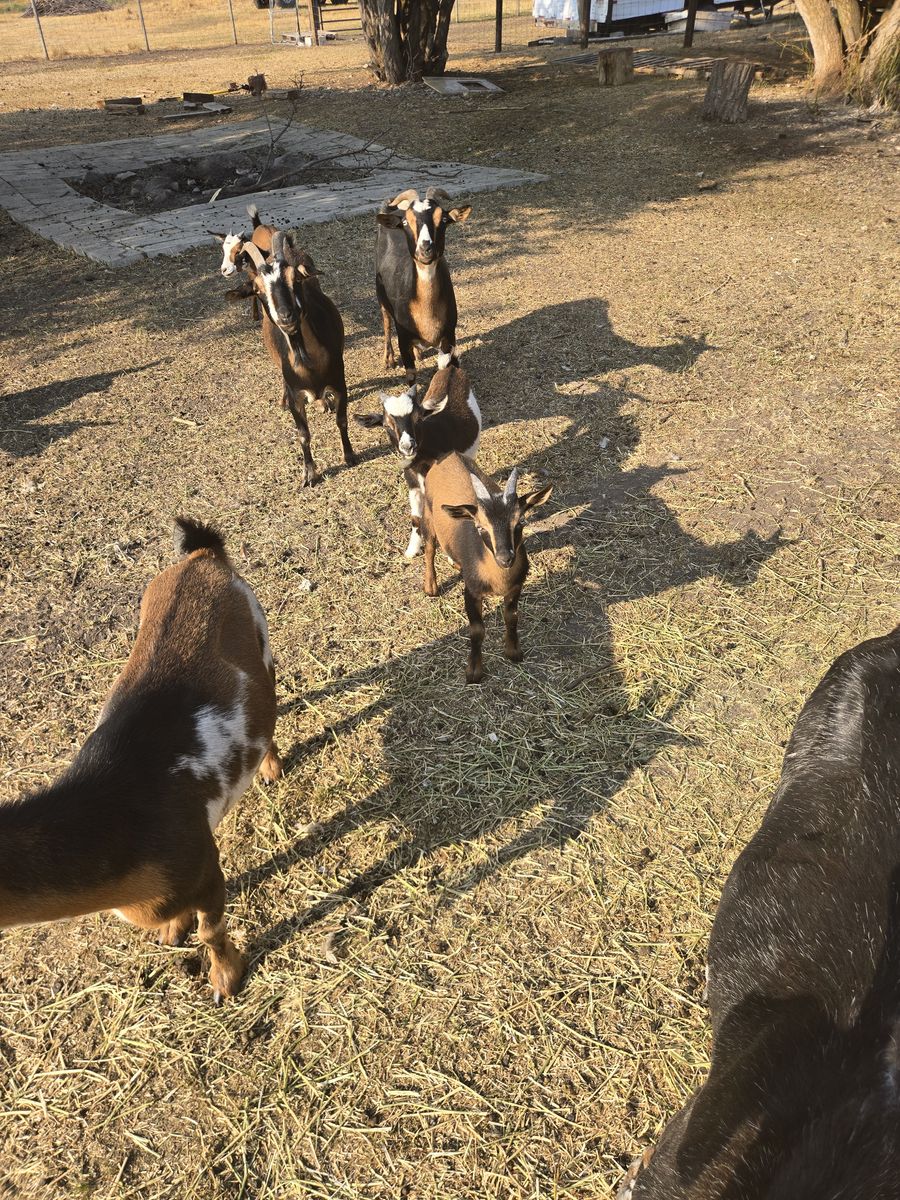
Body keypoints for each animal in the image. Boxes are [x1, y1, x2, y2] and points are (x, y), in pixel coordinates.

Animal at [0, 518, 283, 1003]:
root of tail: (202, 557)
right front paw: (173, 930)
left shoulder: (203, 866)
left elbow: (212, 931)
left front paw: (227, 979)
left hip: (260, 634)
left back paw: (272, 767)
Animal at [242, 231, 355, 486]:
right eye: (258, 290)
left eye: (296, 279)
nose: (286, 316)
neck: (308, 365)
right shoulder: (297, 395)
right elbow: (303, 434)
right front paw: (310, 475)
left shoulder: (339, 382)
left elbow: (342, 420)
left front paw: (350, 456)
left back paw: (323, 402)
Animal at [355, 363, 481, 557]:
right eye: (386, 425)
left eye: (418, 418)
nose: (408, 446)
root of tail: (451, 368)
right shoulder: (413, 484)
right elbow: (415, 519)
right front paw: (411, 550)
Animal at [375, 187, 472, 387]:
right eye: (406, 222)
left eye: (443, 219)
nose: (426, 248)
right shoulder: (403, 337)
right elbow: (411, 376)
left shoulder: (449, 335)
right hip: (380, 291)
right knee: (386, 320)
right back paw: (388, 359)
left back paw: (418, 353)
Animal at [422, 452, 552, 683]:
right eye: (480, 527)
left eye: (521, 522)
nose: (505, 558)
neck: (498, 579)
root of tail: (449, 455)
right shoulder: (472, 591)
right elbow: (477, 630)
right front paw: (474, 672)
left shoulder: (516, 587)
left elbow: (512, 616)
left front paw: (513, 652)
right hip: (428, 515)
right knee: (429, 548)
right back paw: (431, 587)